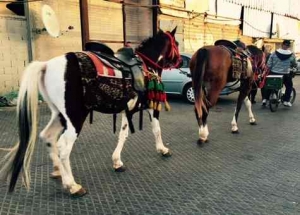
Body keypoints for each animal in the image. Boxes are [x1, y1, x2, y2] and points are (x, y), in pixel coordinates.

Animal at [0, 27, 180, 197]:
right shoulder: (151, 106)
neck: (146, 66)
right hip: (75, 117)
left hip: (60, 115)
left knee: (48, 137)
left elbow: (123, 135)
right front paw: (163, 150)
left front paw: (117, 162)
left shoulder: (126, 110)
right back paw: (72, 186)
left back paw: (59, 172)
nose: (179, 61)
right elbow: (156, 129)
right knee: (64, 148)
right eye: (176, 44)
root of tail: (47, 65)